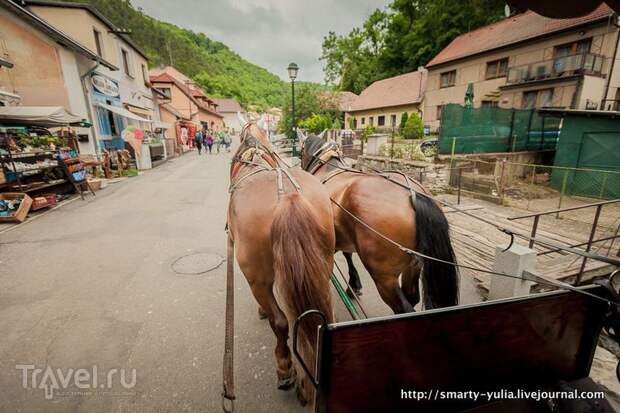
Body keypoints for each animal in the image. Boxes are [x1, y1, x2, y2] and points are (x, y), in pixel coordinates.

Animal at [302, 135, 458, 312]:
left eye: (301, 151)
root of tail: (414, 195)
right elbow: (348, 253)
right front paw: (354, 284)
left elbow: (345, 254)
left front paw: (352, 284)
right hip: (414, 265)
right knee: (412, 296)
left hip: (384, 277)